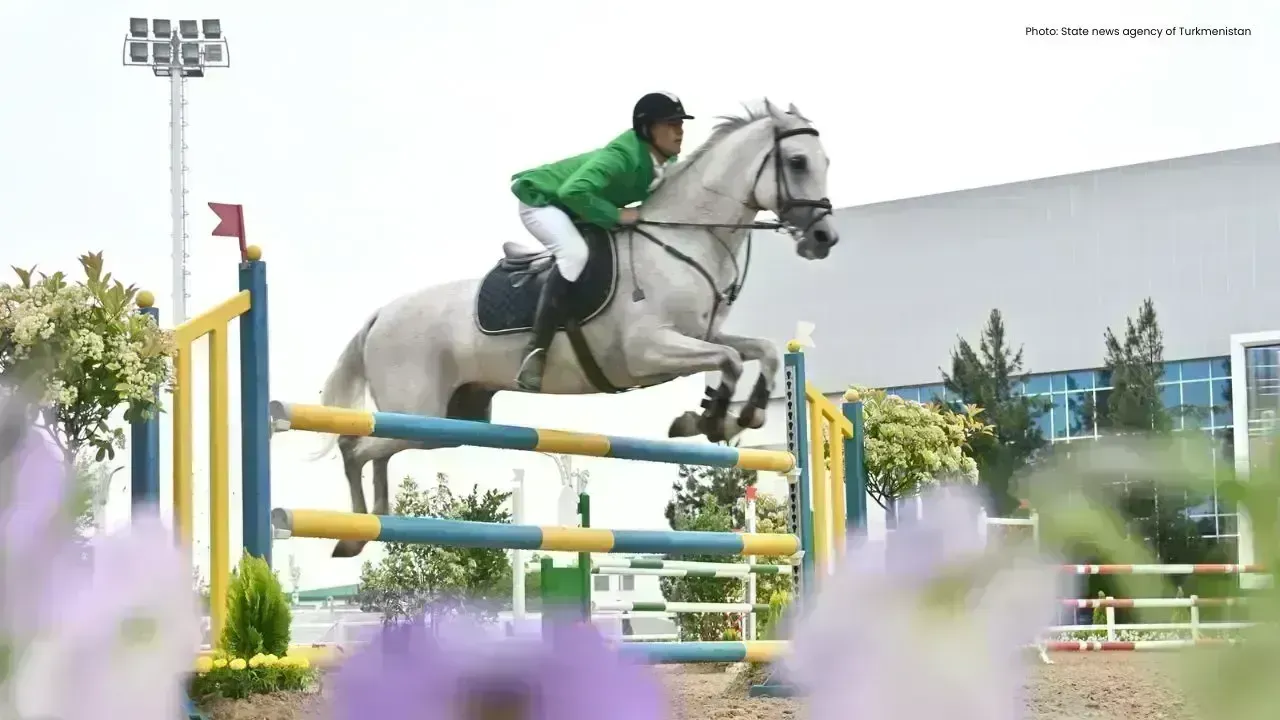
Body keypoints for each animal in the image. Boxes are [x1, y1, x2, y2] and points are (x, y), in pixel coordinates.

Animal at [313, 98, 841, 557]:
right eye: (797, 162)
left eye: (825, 161)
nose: (823, 238)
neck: (682, 240)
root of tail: (381, 314)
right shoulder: (648, 352)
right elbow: (730, 361)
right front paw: (707, 420)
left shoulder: (701, 336)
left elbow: (762, 351)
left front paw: (735, 416)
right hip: (420, 412)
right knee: (356, 446)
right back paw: (353, 533)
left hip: (451, 420)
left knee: (379, 451)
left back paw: (374, 521)